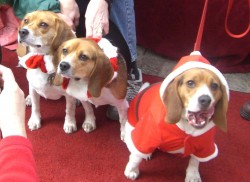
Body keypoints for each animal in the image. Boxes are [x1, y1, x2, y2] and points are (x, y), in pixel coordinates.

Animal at [124, 51, 229, 182]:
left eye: (214, 85)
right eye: (190, 83)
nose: (206, 100)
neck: (187, 126)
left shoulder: (204, 145)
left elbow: (195, 161)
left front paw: (193, 175)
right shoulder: (146, 135)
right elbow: (136, 156)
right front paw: (132, 170)